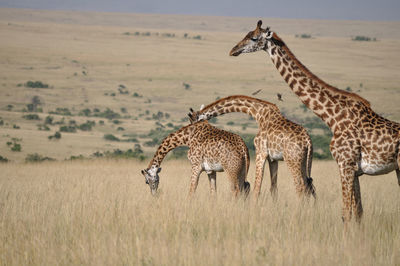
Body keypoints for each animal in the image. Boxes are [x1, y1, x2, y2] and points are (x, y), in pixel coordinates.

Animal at [188, 95, 316, 200]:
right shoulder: (272, 158)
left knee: (300, 186)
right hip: (303, 160)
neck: (258, 113)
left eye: (193, 122)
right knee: (309, 185)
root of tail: (308, 140)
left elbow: (257, 187)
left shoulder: (260, 152)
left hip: (291, 160)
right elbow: (273, 187)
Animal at [228, 19, 400, 222]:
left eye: (254, 38)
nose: (233, 50)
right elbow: (358, 212)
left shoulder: (345, 164)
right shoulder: (354, 170)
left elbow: (346, 214)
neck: (333, 117)